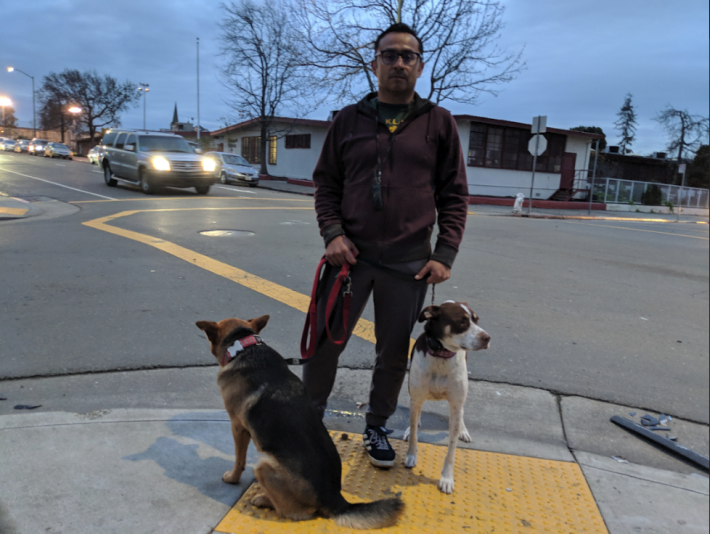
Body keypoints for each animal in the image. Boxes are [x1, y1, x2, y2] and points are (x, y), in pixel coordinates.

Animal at [197, 316, 404, 528]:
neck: (244, 346)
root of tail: (333, 498)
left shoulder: (238, 427)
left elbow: (239, 460)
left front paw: (232, 478)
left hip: (263, 465)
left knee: (293, 511)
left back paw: (263, 499)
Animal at [406, 304, 490, 496]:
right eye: (462, 321)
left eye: (476, 320)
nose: (487, 338)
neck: (441, 355)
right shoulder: (417, 395)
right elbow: (414, 433)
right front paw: (411, 455)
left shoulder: (456, 404)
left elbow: (451, 450)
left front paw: (446, 478)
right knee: (416, 412)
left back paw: (463, 431)